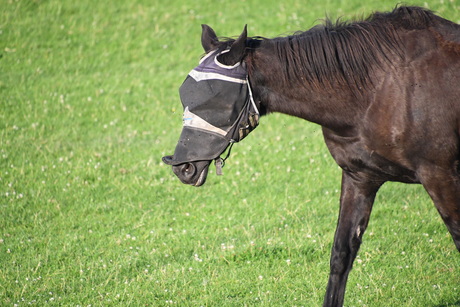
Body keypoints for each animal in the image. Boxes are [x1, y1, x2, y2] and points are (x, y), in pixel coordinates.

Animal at [163, 6, 460, 306]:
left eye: (216, 101)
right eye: (184, 94)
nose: (182, 167)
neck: (378, 90)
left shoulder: (440, 175)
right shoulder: (360, 178)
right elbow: (341, 254)